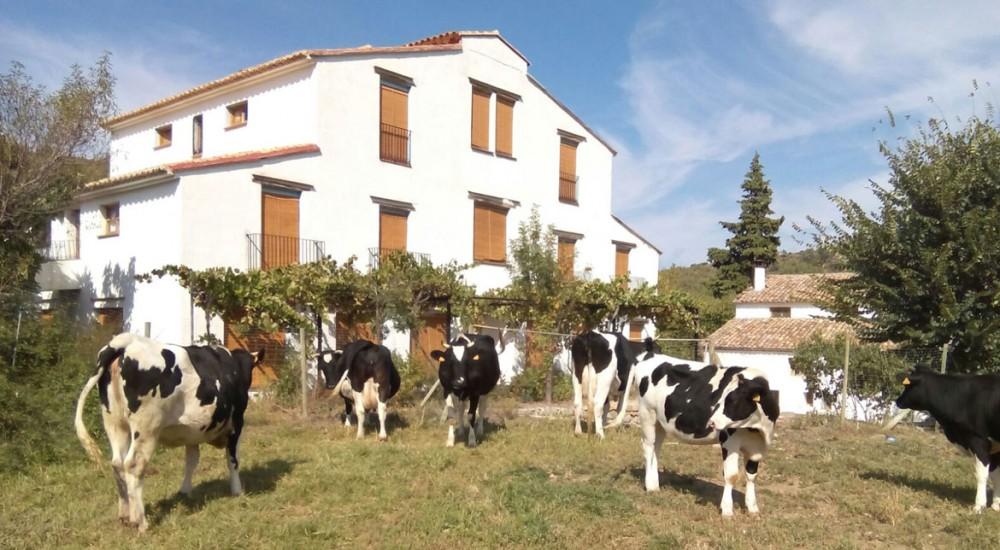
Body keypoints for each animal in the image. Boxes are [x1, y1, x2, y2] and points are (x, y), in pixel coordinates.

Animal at [74, 333, 263, 532]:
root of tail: (126, 341)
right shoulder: (237, 423)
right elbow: (232, 460)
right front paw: (237, 491)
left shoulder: (192, 432)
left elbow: (191, 461)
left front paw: (185, 491)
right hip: (146, 429)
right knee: (133, 465)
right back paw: (140, 521)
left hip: (115, 424)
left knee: (117, 464)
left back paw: (125, 515)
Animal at [635, 354, 780, 516]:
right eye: (721, 399)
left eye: (733, 400)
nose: (711, 422)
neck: (757, 430)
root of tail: (652, 356)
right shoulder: (729, 442)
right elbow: (731, 475)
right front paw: (727, 509)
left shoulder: (757, 447)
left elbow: (752, 475)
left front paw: (752, 507)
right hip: (647, 415)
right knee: (648, 448)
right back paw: (649, 486)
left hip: (660, 424)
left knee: (656, 449)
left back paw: (655, 486)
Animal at [894, 365, 1000, 512]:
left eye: (907, 386)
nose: (897, 401)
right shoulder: (994, 448)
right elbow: (996, 476)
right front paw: (996, 504)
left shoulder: (979, 440)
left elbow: (982, 475)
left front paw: (979, 506)